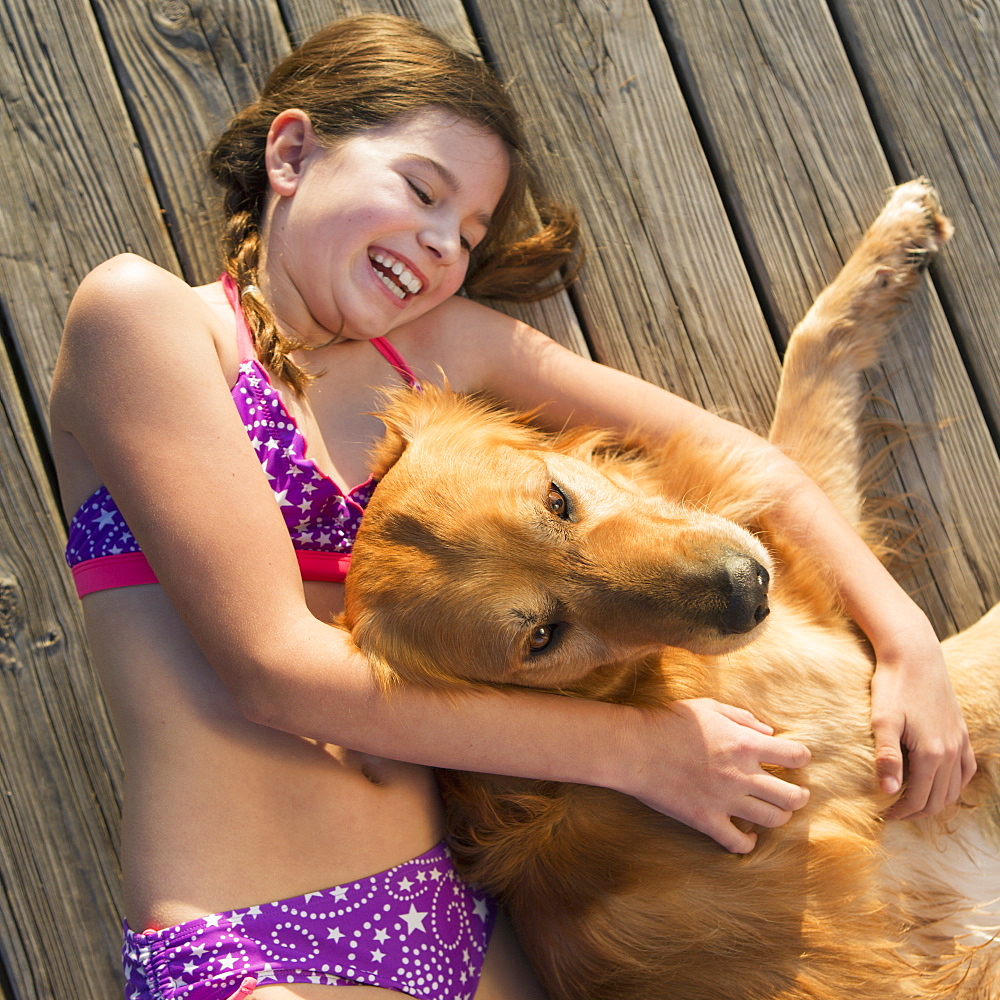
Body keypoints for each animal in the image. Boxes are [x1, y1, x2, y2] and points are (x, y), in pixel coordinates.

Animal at [340, 180, 996, 1000]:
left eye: (557, 500)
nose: (746, 592)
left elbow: (807, 360)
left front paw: (892, 246)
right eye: (542, 638)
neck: (641, 682)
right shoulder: (869, 706)